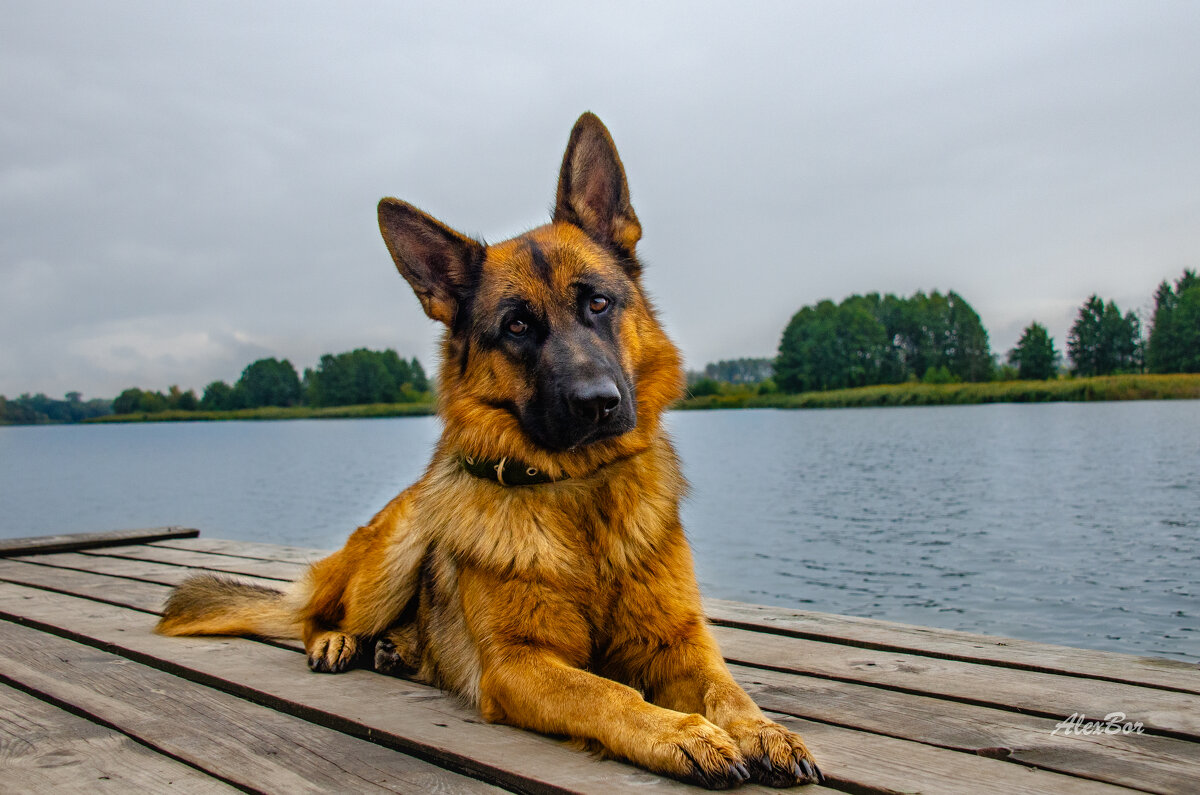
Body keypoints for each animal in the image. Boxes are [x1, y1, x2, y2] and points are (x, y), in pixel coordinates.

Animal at [154, 112, 820, 792]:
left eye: (598, 302)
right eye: (518, 326)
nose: (598, 404)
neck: (579, 494)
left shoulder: (678, 641)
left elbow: (726, 689)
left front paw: (761, 729)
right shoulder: (519, 664)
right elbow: (608, 693)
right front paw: (680, 734)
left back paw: (396, 649)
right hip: (397, 547)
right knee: (320, 614)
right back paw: (338, 642)